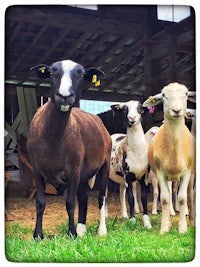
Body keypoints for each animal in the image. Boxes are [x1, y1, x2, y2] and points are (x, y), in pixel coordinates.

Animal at [143, 82, 196, 234]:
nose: (176, 110)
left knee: (190, 194)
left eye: (186, 94)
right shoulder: (160, 173)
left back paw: (191, 219)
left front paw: (183, 228)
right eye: (164, 95)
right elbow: (165, 199)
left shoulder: (186, 172)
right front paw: (164, 227)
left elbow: (182, 198)